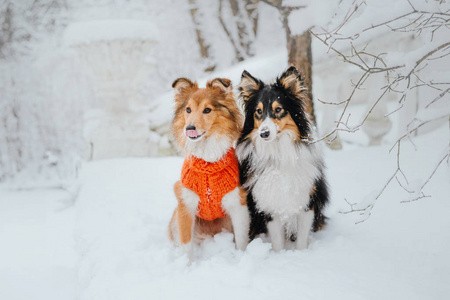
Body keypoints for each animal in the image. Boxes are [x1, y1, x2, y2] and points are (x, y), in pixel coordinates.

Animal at [169, 78, 250, 260]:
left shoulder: (238, 204)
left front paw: (241, 258)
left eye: (207, 110)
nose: (189, 128)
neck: (208, 163)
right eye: (188, 109)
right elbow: (186, 244)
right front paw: (187, 264)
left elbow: (241, 241)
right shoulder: (185, 205)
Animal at [237, 66, 328, 251]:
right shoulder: (270, 205)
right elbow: (278, 241)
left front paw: (300, 254)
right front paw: (280, 255)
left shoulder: (306, 201)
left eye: (278, 109)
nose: (264, 133)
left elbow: (302, 239)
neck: (278, 151)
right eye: (258, 112)